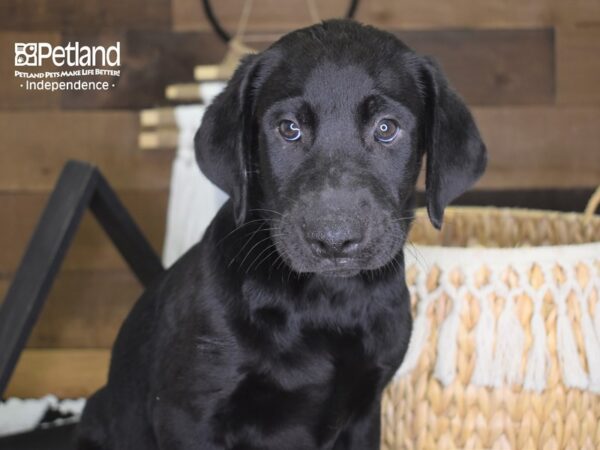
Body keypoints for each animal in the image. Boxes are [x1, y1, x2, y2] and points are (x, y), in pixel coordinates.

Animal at [76, 19, 488, 448]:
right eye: (288, 129)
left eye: (387, 128)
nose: (334, 239)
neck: (325, 301)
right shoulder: (188, 415)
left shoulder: (366, 411)